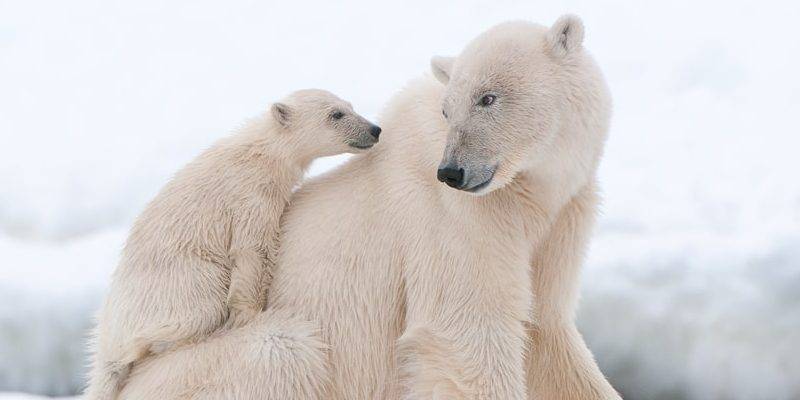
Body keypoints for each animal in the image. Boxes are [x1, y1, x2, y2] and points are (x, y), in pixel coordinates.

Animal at [119, 14, 620, 398]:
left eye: (488, 97)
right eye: (447, 109)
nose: (451, 172)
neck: (526, 191)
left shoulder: (562, 216)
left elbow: (547, 331)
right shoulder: (454, 221)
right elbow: (463, 334)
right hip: (203, 366)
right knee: (284, 348)